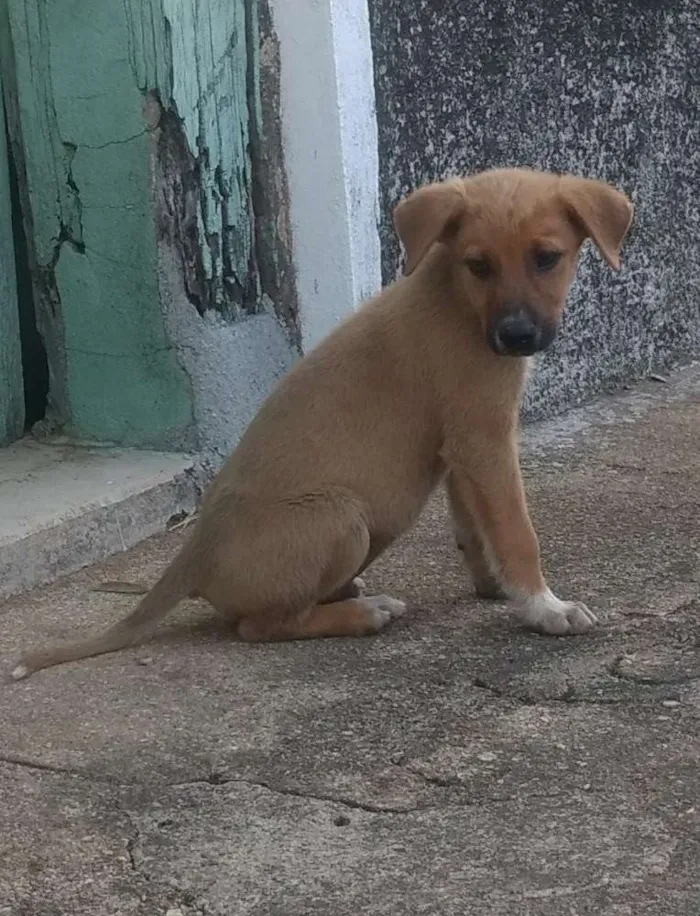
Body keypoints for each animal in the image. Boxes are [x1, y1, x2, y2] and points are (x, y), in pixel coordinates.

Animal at [10, 168, 636, 680]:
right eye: (479, 265)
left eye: (546, 258)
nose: (516, 336)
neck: (457, 298)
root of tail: (193, 555)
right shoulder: (484, 439)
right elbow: (516, 532)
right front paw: (545, 607)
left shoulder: (461, 448)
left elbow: (475, 529)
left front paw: (495, 589)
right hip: (342, 516)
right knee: (259, 627)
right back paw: (362, 613)